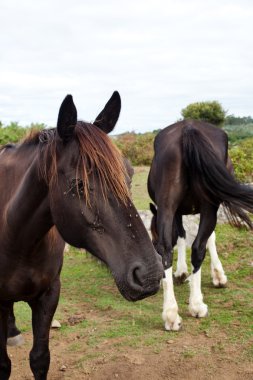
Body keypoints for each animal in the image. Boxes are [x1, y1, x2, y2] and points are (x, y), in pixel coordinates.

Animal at [0, 93, 162, 380]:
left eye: (129, 176)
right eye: (79, 185)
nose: (150, 274)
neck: (17, 238)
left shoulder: (49, 294)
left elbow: (40, 359)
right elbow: (3, 365)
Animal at [147, 119, 253, 330]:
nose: (153, 243)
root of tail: (188, 127)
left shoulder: (179, 211)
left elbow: (182, 234)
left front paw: (182, 272)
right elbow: (204, 238)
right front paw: (216, 275)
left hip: (168, 205)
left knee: (167, 249)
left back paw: (171, 314)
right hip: (208, 206)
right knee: (197, 248)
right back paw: (196, 305)